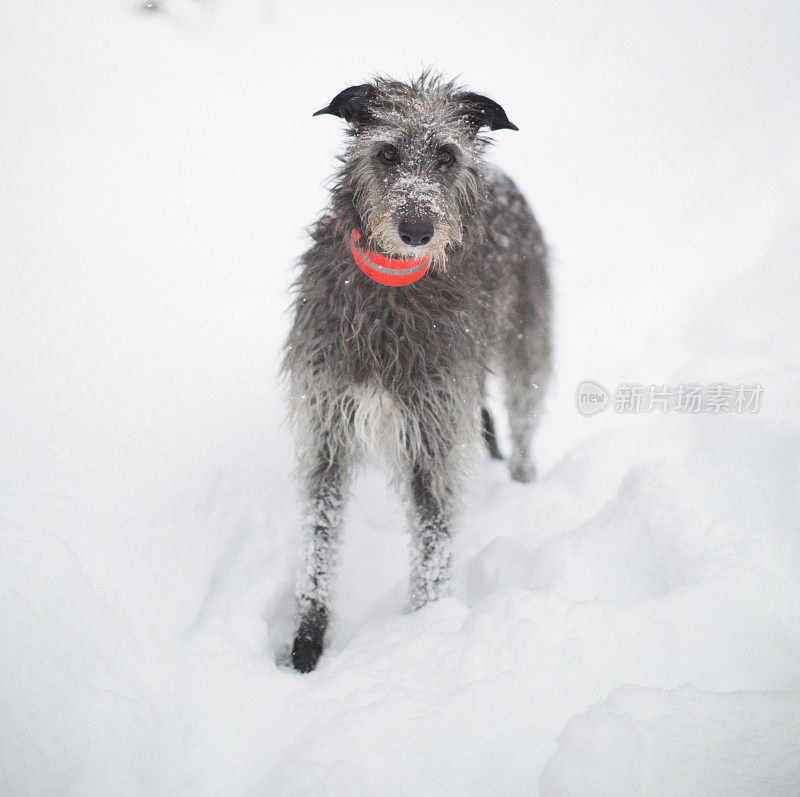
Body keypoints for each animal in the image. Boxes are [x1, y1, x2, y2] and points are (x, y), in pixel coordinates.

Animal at [280, 73, 552, 672]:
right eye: (386, 153)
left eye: (446, 156)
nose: (417, 230)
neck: (391, 288)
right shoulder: (327, 425)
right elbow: (318, 539)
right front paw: (306, 638)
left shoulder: (434, 436)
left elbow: (434, 545)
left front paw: (426, 633)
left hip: (527, 345)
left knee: (523, 425)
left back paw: (523, 483)